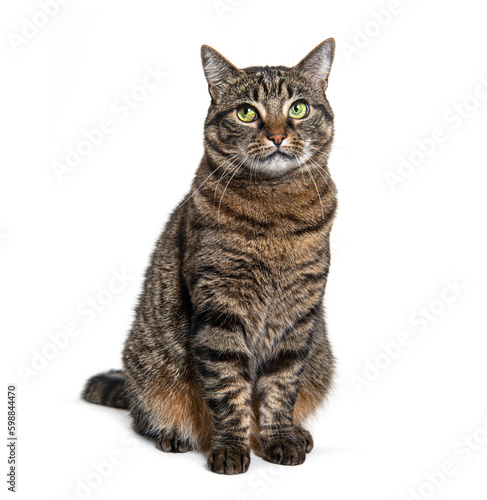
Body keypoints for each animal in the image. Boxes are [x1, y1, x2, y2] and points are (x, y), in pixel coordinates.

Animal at [82, 37, 338, 474]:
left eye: (298, 109)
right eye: (247, 112)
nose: (276, 136)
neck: (275, 211)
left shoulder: (298, 314)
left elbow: (281, 385)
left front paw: (281, 437)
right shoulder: (219, 307)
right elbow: (228, 387)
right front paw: (232, 447)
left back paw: (298, 432)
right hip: (149, 368)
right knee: (142, 416)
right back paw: (174, 434)